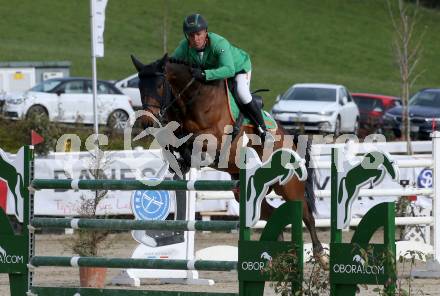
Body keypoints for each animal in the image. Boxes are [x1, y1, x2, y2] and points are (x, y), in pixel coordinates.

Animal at [129, 53, 328, 268]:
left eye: (159, 85)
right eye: (139, 86)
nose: (146, 122)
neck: (192, 97)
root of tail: (290, 137)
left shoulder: (216, 137)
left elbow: (192, 140)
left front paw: (191, 157)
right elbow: (171, 140)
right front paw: (180, 161)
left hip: (289, 187)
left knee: (306, 214)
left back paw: (320, 255)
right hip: (246, 191)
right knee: (272, 214)